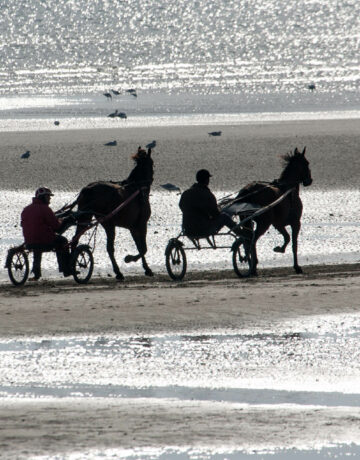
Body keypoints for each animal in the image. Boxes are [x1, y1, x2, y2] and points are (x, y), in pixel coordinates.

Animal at [67, 146, 153, 280]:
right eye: (152, 164)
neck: (137, 189)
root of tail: (88, 188)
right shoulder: (141, 224)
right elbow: (143, 248)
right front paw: (131, 259)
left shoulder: (132, 227)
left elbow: (140, 247)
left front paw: (145, 267)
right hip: (108, 223)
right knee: (110, 248)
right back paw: (118, 272)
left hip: (86, 217)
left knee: (76, 238)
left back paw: (72, 267)